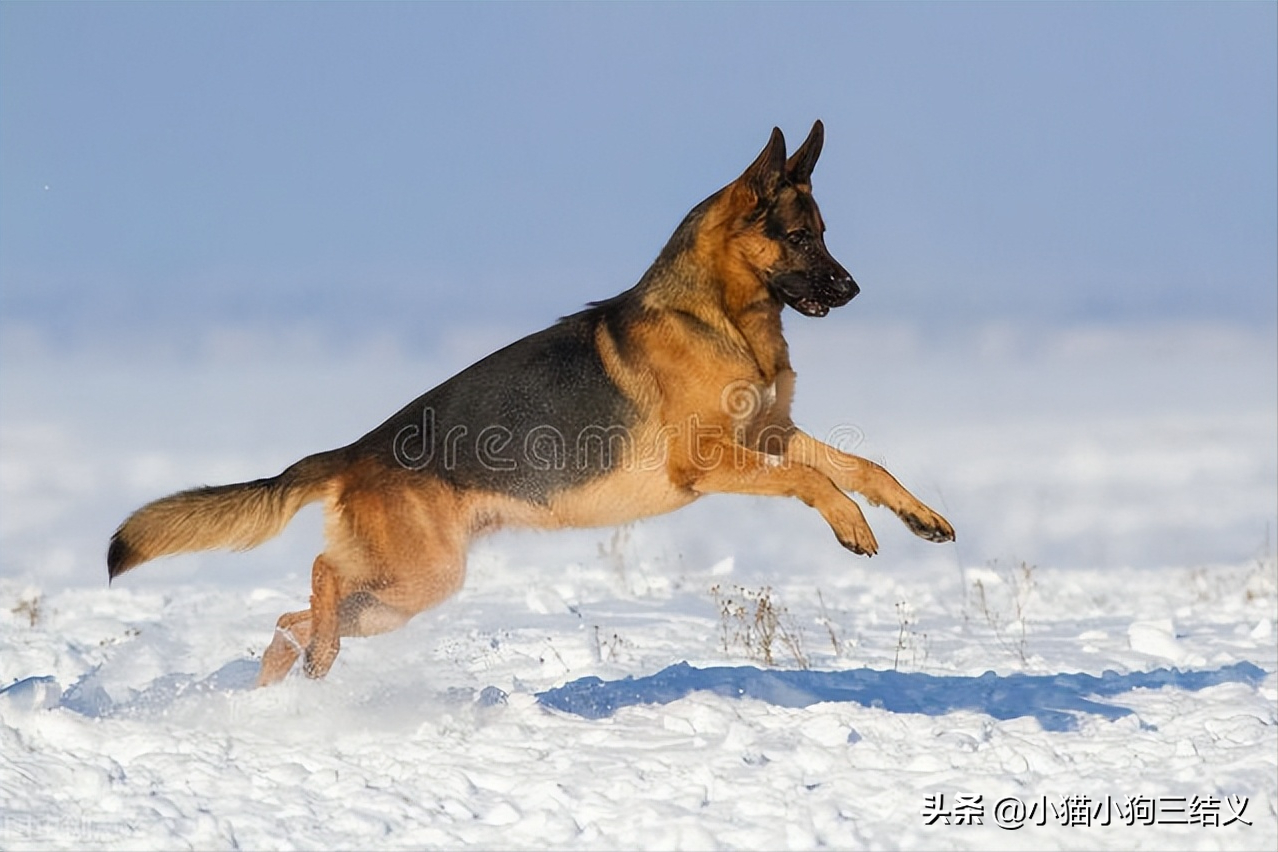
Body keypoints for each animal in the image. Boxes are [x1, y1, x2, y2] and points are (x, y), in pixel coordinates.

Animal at [107, 121, 950, 684]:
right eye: (802, 238)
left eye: (822, 234)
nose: (853, 289)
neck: (720, 315)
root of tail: (353, 453)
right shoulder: (711, 460)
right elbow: (814, 479)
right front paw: (852, 526)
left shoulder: (772, 432)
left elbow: (862, 465)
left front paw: (918, 516)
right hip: (417, 578)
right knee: (317, 578)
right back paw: (313, 660)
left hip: (401, 595)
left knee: (290, 620)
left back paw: (293, 677)